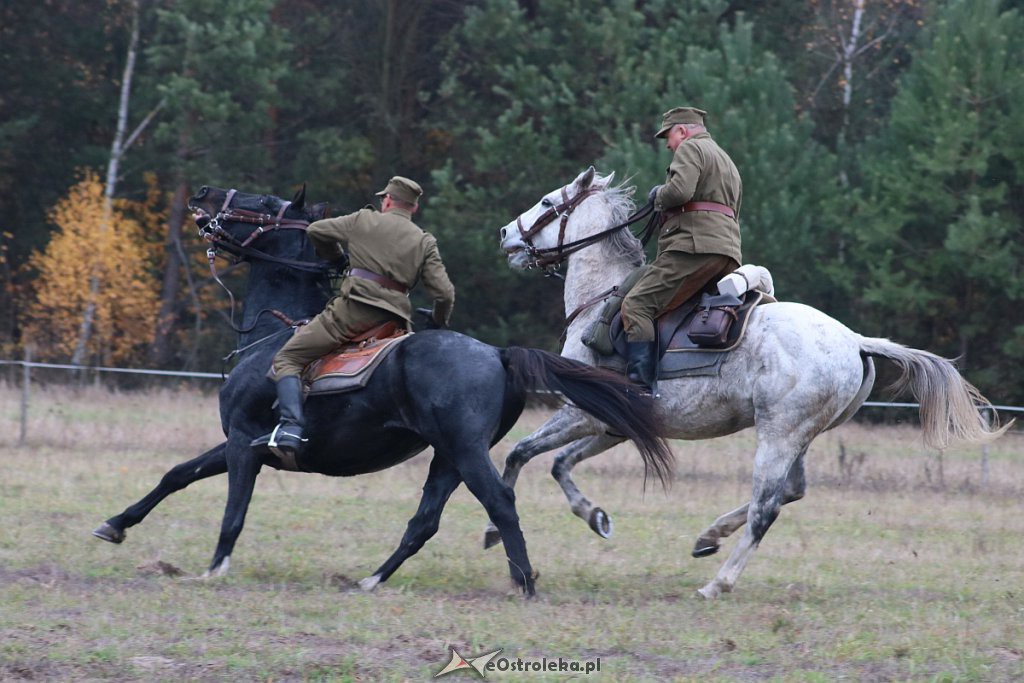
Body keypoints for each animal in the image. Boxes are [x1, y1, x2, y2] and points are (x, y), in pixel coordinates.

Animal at [94, 184, 671, 593]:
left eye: (261, 202)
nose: (203, 194)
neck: (275, 332)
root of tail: (498, 353)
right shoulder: (246, 443)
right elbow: (178, 474)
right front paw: (116, 523)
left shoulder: (241, 444)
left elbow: (233, 510)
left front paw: (214, 569)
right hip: (447, 457)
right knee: (426, 521)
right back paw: (371, 579)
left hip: (464, 451)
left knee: (500, 503)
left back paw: (524, 581)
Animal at [487, 169, 1007, 598]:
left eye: (546, 201)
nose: (506, 234)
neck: (600, 300)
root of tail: (855, 341)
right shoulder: (611, 425)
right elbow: (559, 464)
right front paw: (595, 516)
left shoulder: (581, 413)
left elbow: (520, 453)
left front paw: (496, 531)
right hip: (799, 437)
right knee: (790, 492)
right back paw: (708, 537)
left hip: (777, 435)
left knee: (766, 508)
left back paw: (718, 583)